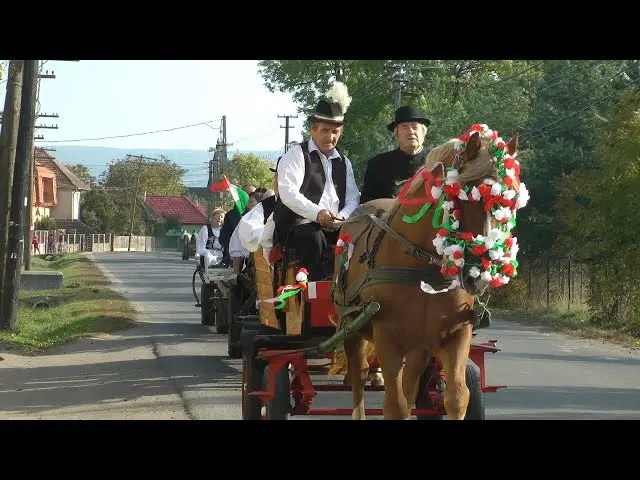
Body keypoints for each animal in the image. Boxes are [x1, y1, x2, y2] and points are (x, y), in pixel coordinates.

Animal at [328, 124, 528, 420]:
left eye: (511, 198)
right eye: (464, 193)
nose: (479, 275)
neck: (421, 269)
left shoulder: (456, 334)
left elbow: (457, 397)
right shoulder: (388, 337)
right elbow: (395, 405)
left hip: (418, 349)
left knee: (410, 387)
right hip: (352, 328)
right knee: (359, 377)